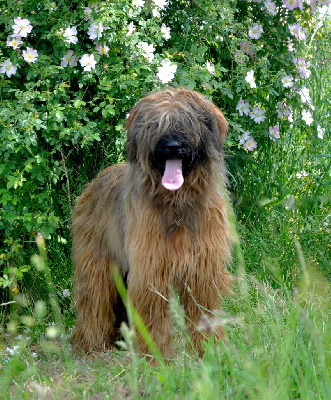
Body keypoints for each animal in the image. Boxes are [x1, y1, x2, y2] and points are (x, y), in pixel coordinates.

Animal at [72, 87, 233, 356]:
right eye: (157, 125)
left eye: (186, 122)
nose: (172, 146)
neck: (177, 205)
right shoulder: (152, 267)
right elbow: (152, 316)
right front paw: (155, 357)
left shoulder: (202, 270)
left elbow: (202, 310)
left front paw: (209, 351)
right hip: (98, 263)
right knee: (94, 300)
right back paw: (89, 343)